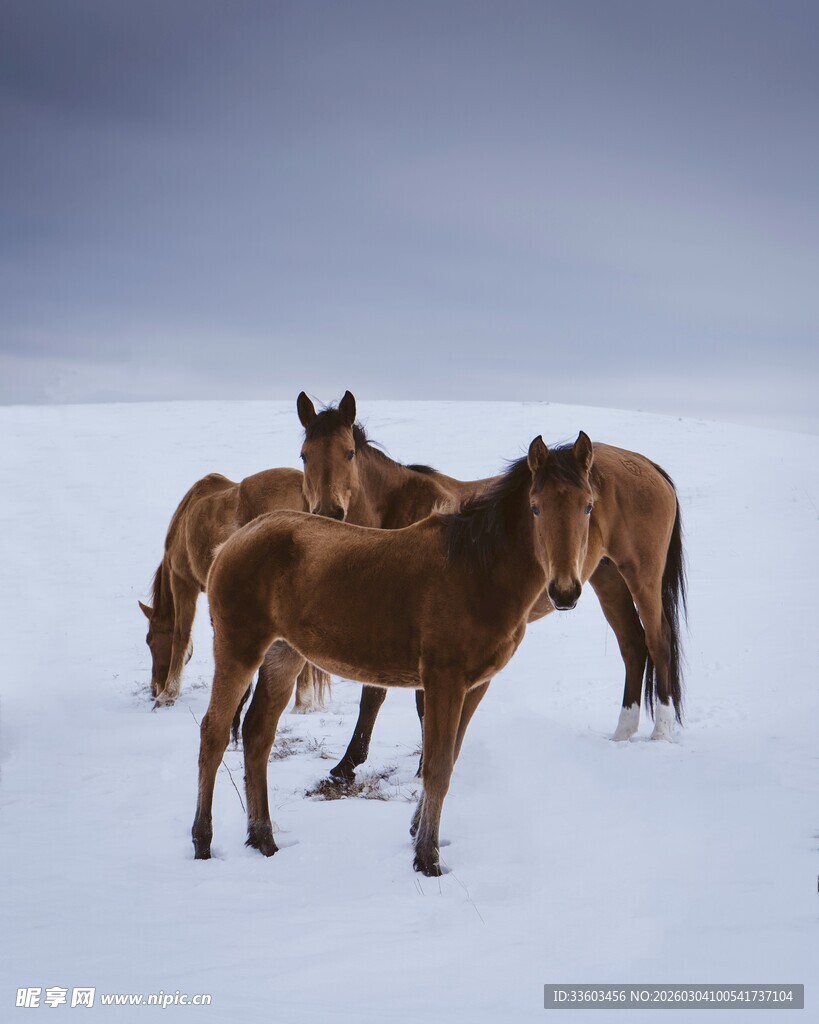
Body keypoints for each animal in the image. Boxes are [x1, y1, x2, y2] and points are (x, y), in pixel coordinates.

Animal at [192, 432, 686, 875]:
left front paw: (417, 835)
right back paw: (203, 842)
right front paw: (427, 859)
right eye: (536, 506)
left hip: (283, 655)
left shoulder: (475, 684)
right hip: (239, 648)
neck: (475, 571)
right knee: (214, 733)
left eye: (587, 506)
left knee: (257, 734)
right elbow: (437, 767)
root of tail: (233, 542)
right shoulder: (443, 680)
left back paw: (263, 840)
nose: (564, 591)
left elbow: (447, 760)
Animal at [295, 393, 681, 780]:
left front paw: (415, 766)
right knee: (632, 645)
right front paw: (348, 765)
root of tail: (647, 466)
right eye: (304, 455)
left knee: (657, 640)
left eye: (349, 453)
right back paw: (622, 732)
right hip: (607, 579)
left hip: (641, 575)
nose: (328, 512)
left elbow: (398, 699)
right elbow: (376, 694)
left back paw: (661, 732)